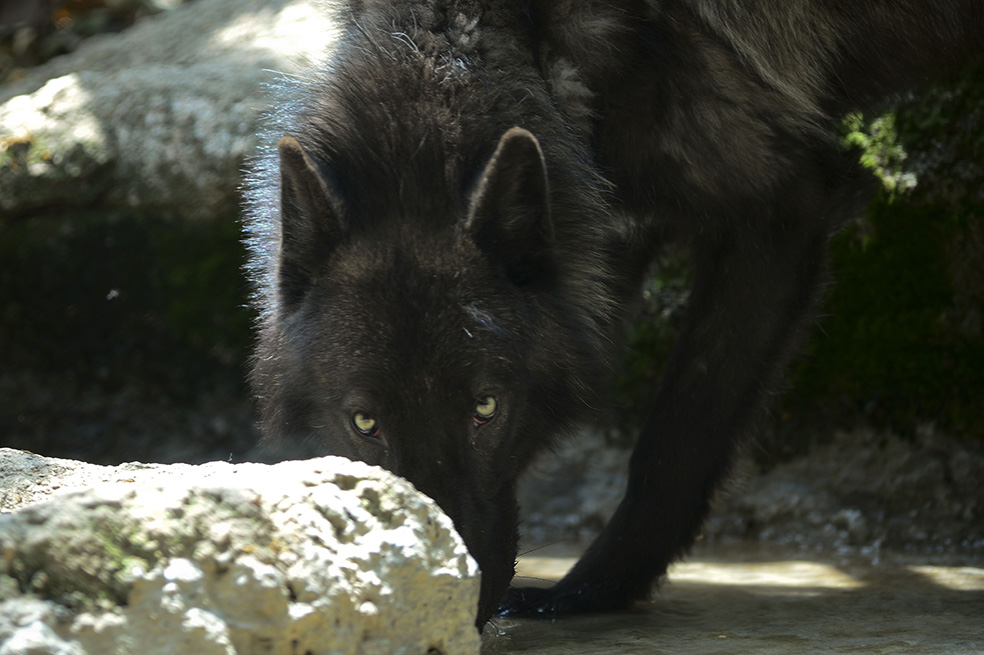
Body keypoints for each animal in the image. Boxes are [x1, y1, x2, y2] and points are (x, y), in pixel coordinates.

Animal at [243, 0, 983, 628]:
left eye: (486, 407)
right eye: (364, 423)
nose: (453, 602)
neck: (516, 34)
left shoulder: (781, 207)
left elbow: (675, 441)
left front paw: (588, 592)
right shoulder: (601, 227)